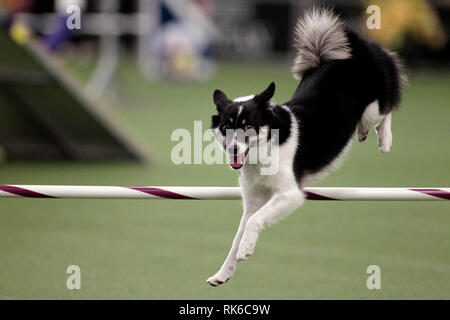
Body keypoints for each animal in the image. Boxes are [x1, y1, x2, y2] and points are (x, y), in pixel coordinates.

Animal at [207, 8, 404, 286]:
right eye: (227, 126)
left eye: (248, 126)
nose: (233, 150)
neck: (266, 150)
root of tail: (355, 43)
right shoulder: (253, 200)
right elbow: (238, 235)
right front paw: (223, 274)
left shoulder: (290, 193)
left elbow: (255, 222)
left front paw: (246, 249)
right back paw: (365, 133)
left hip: (372, 108)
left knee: (388, 106)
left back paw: (384, 139)